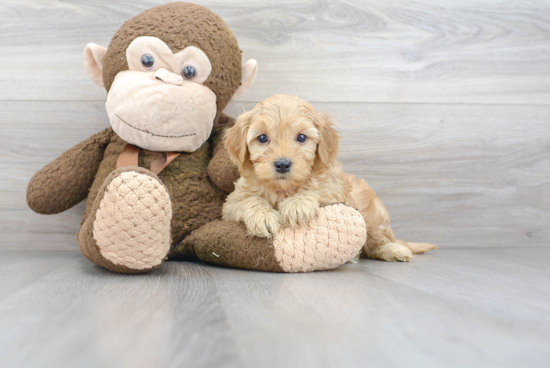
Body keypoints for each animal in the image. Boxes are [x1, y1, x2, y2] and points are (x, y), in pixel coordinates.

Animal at [222, 95, 438, 262]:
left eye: (301, 138)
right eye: (262, 138)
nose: (282, 164)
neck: (283, 189)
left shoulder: (336, 192)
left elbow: (316, 191)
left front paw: (297, 205)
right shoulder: (230, 206)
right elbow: (248, 200)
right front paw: (263, 215)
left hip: (374, 215)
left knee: (377, 242)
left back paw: (393, 249)